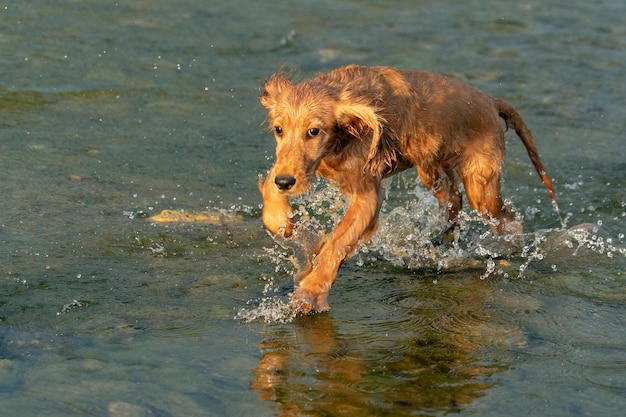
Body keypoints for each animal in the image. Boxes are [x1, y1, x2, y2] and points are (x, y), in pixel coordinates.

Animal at [258, 64, 556, 312]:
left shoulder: (368, 196)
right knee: (454, 198)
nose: (287, 183)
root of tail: (491, 102)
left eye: (314, 132)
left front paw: (310, 293)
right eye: (279, 130)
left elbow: (338, 243)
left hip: (480, 186)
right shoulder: (294, 166)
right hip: (432, 169)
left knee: (508, 221)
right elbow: (272, 192)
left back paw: (502, 248)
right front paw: (287, 225)